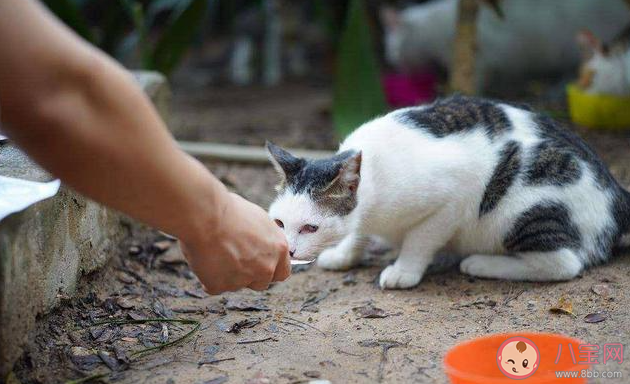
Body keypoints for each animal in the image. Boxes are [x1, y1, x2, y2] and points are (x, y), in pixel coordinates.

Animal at [266, 95, 630, 288]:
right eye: (279, 224)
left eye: (310, 227)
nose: (290, 251)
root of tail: (616, 190)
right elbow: (358, 232)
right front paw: (344, 254)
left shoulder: (451, 200)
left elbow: (419, 240)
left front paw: (403, 271)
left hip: (519, 207)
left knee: (564, 263)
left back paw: (481, 264)